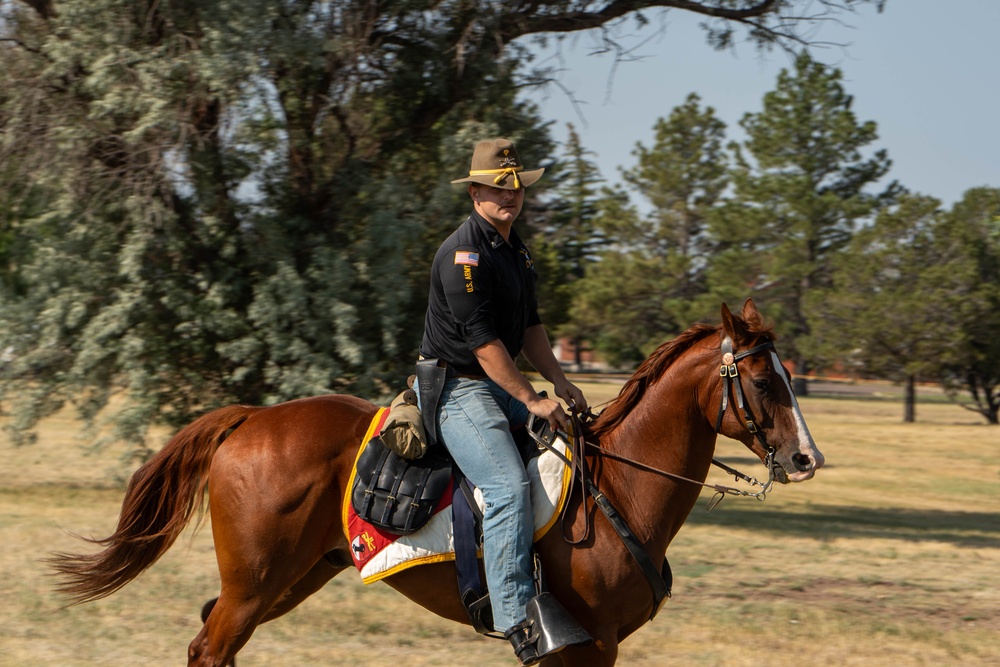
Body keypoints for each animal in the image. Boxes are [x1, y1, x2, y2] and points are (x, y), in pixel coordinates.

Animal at [50, 300, 824, 664]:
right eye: (763, 381)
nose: (805, 458)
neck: (618, 491)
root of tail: (250, 419)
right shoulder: (587, 645)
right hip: (256, 583)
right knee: (210, 648)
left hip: (288, 579)